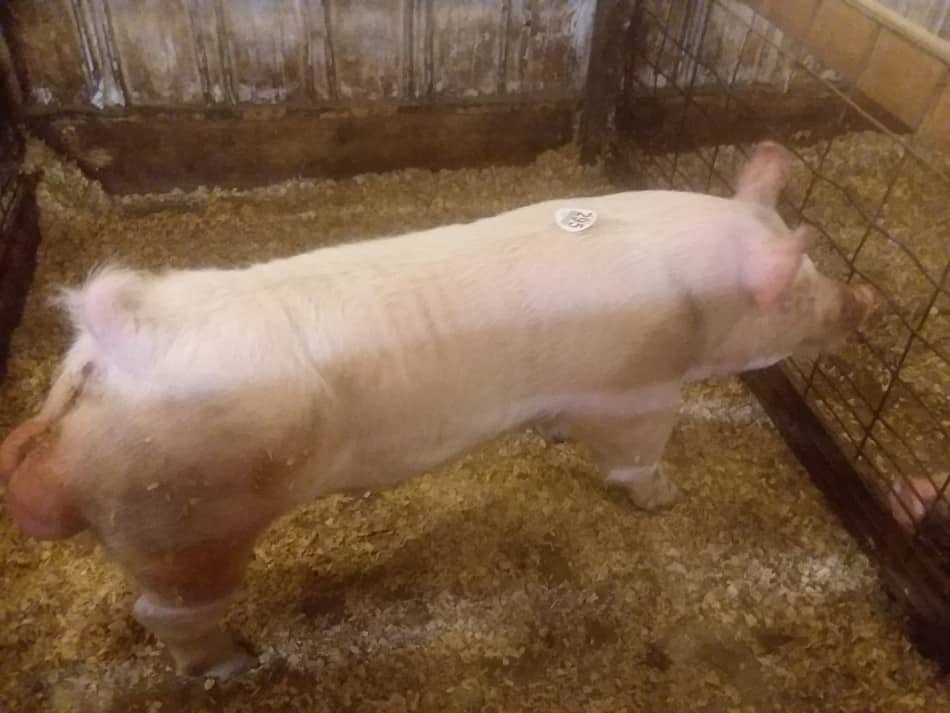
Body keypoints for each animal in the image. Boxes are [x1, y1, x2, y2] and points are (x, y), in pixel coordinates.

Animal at [0, 140, 876, 680]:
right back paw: (232, 664)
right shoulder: (638, 384)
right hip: (183, 527)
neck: (697, 300)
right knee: (164, 610)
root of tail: (112, 347)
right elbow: (636, 451)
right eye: (795, 287)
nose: (860, 299)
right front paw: (663, 498)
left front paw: (555, 434)